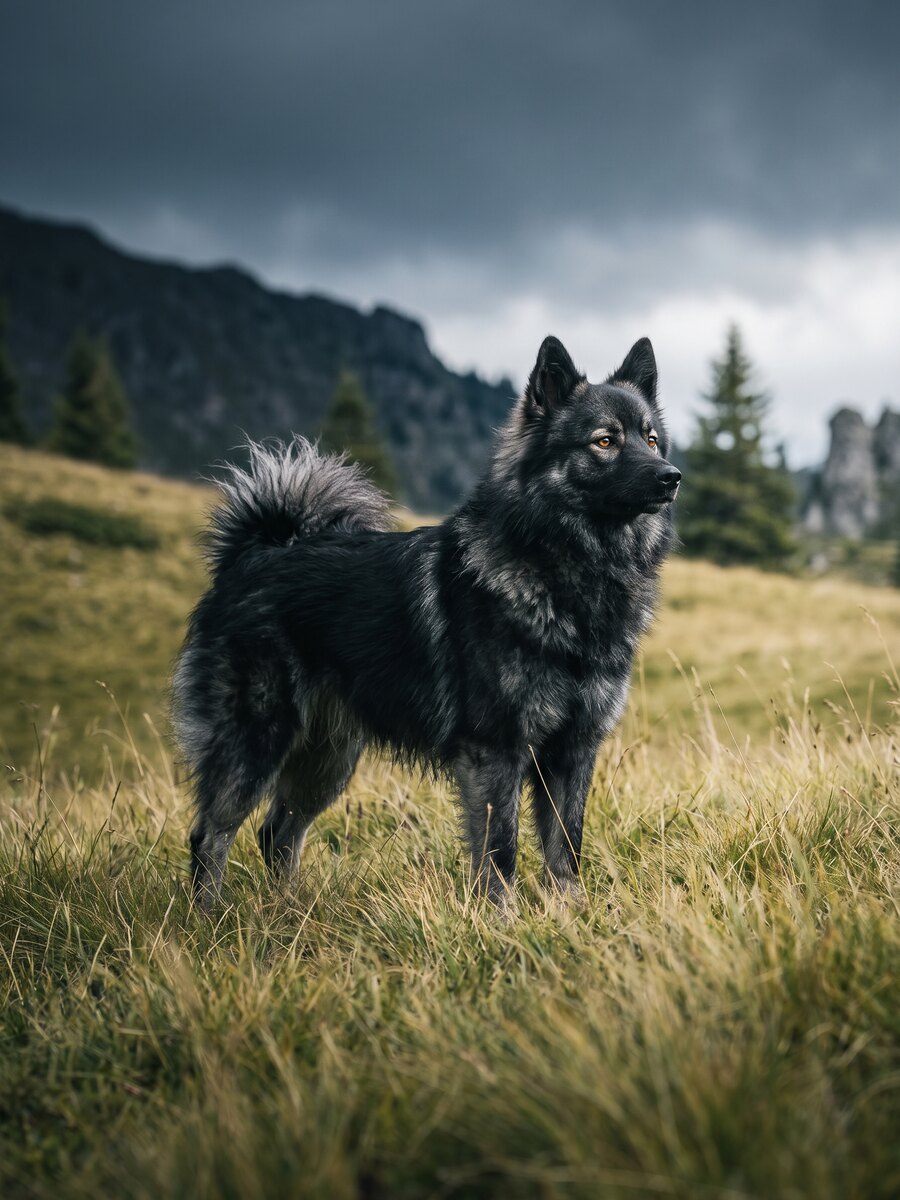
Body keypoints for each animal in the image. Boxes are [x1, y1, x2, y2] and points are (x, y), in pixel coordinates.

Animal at [173, 335, 680, 910]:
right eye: (604, 441)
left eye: (652, 439)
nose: (671, 477)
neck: (566, 568)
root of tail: (255, 553)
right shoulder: (496, 750)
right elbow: (500, 850)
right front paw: (502, 920)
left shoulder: (573, 751)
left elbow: (564, 849)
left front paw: (572, 915)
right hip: (257, 740)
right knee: (212, 834)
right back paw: (210, 920)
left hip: (329, 756)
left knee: (277, 832)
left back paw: (288, 913)